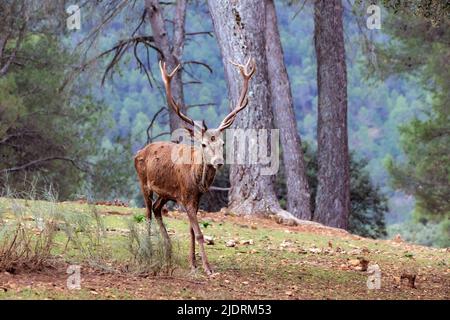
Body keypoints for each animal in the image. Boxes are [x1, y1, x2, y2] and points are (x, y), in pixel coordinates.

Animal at [133, 56, 256, 274]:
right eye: (204, 144)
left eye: (222, 143)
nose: (218, 162)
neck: (198, 181)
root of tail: (137, 153)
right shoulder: (186, 196)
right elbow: (198, 233)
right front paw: (207, 267)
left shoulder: (195, 198)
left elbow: (191, 231)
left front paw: (193, 263)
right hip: (144, 182)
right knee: (147, 213)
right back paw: (148, 251)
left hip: (166, 193)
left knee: (156, 209)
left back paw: (169, 250)